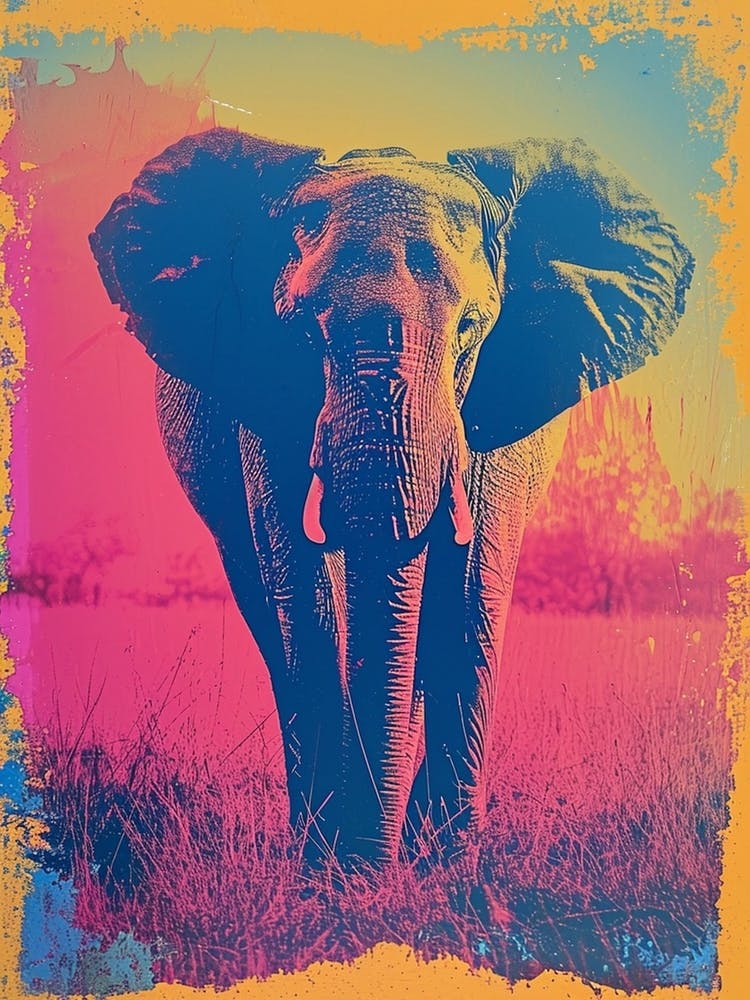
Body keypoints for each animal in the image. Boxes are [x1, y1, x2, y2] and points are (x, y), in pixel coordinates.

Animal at [90, 129, 693, 870]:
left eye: (469, 330)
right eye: (301, 332)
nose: (370, 872)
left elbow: (468, 589)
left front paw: (448, 873)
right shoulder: (259, 389)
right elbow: (306, 592)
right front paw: (328, 876)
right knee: (269, 612)